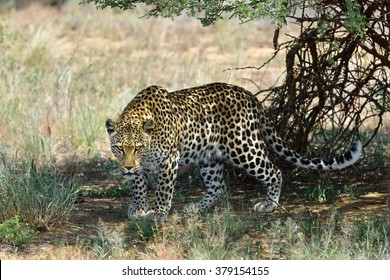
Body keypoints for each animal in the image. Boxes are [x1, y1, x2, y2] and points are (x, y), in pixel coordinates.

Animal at [104, 82, 362, 221]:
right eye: (119, 148)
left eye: (137, 148)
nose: (127, 167)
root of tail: (248, 94)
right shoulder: (140, 168)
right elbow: (138, 186)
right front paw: (137, 207)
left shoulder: (169, 159)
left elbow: (163, 190)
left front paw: (157, 212)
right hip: (209, 157)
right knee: (219, 187)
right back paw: (195, 208)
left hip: (244, 147)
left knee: (275, 170)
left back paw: (269, 204)